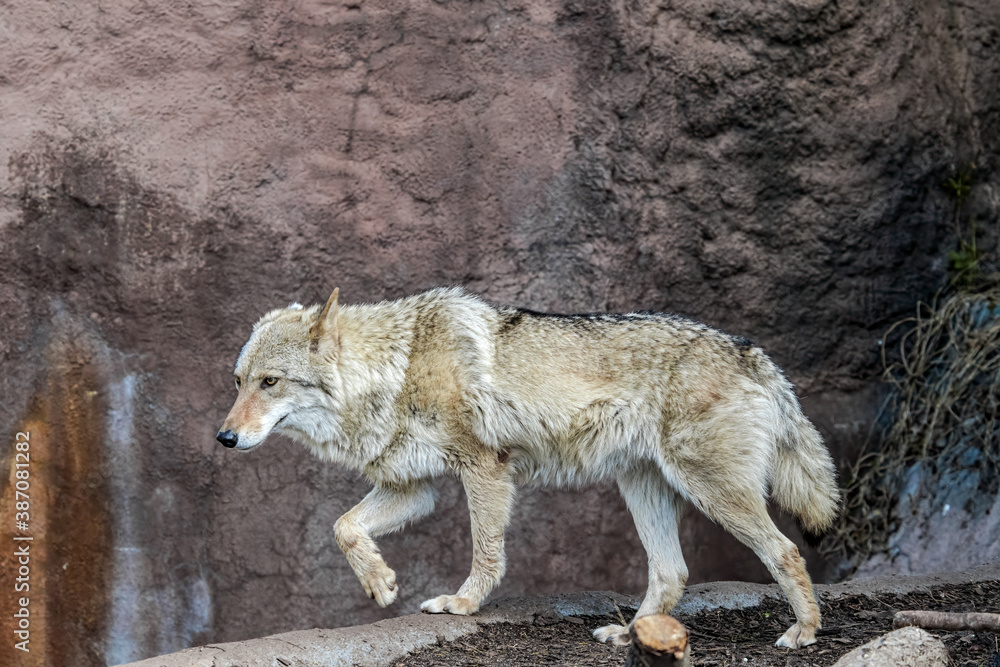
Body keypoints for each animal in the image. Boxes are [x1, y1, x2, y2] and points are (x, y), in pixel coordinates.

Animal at [217, 287, 839, 648]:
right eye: (238, 382)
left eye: (270, 382)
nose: (225, 437)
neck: (398, 368)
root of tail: (752, 352)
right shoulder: (414, 489)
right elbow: (343, 527)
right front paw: (381, 583)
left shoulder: (483, 468)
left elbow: (486, 552)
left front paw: (463, 604)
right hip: (643, 488)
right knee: (673, 571)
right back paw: (628, 635)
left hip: (710, 491)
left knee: (785, 551)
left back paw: (805, 633)